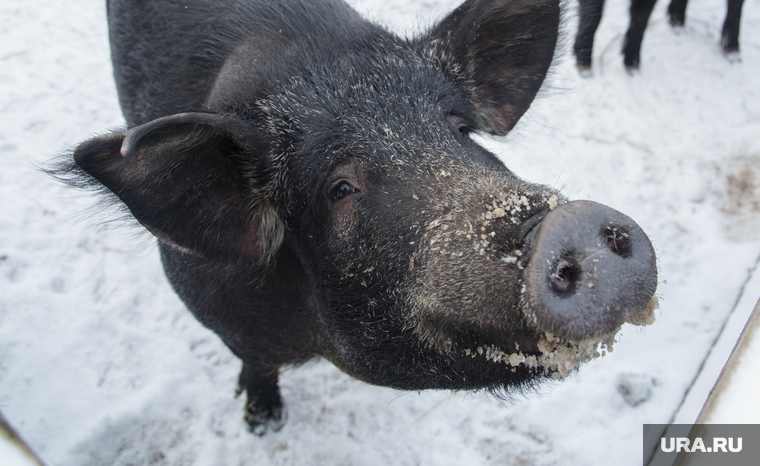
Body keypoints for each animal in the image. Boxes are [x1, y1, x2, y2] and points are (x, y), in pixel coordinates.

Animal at [56, 0, 656, 436]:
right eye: (339, 188)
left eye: (460, 130)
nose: (572, 222)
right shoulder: (213, 310)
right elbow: (256, 364)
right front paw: (263, 426)